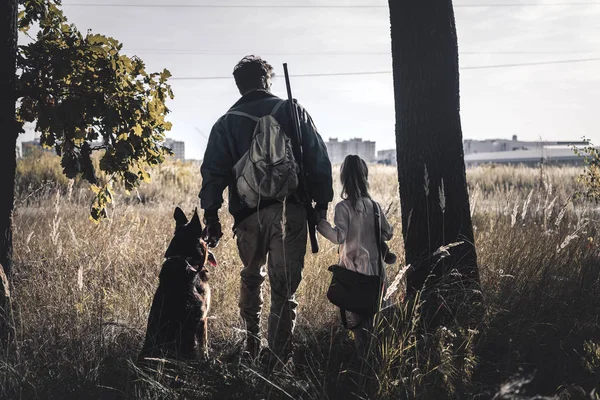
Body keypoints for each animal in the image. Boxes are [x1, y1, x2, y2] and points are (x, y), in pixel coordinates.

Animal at [139, 208, 216, 360]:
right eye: (205, 232)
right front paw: (207, 360)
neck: (184, 258)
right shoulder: (203, 318)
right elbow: (204, 347)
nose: (215, 239)